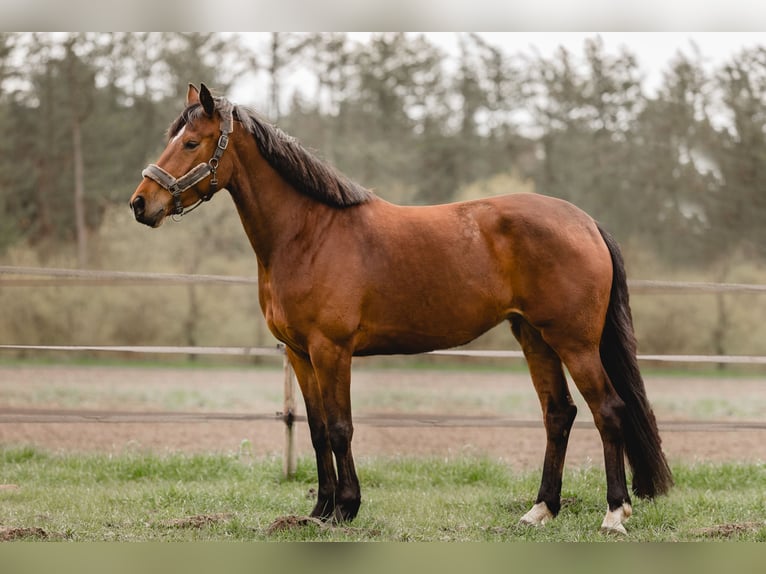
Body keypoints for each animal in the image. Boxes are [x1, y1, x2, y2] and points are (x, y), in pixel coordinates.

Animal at [130, 82, 672, 536]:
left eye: (191, 143)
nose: (140, 204)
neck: (308, 233)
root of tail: (585, 221)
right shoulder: (301, 356)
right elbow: (317, 431)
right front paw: (319, 510)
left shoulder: (331, 350)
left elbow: (341, 428)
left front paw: (346, 509)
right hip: (534, 337)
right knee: (559, 414)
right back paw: (540, 510)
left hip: (573, 341)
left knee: (608, 410)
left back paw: (613, 514)